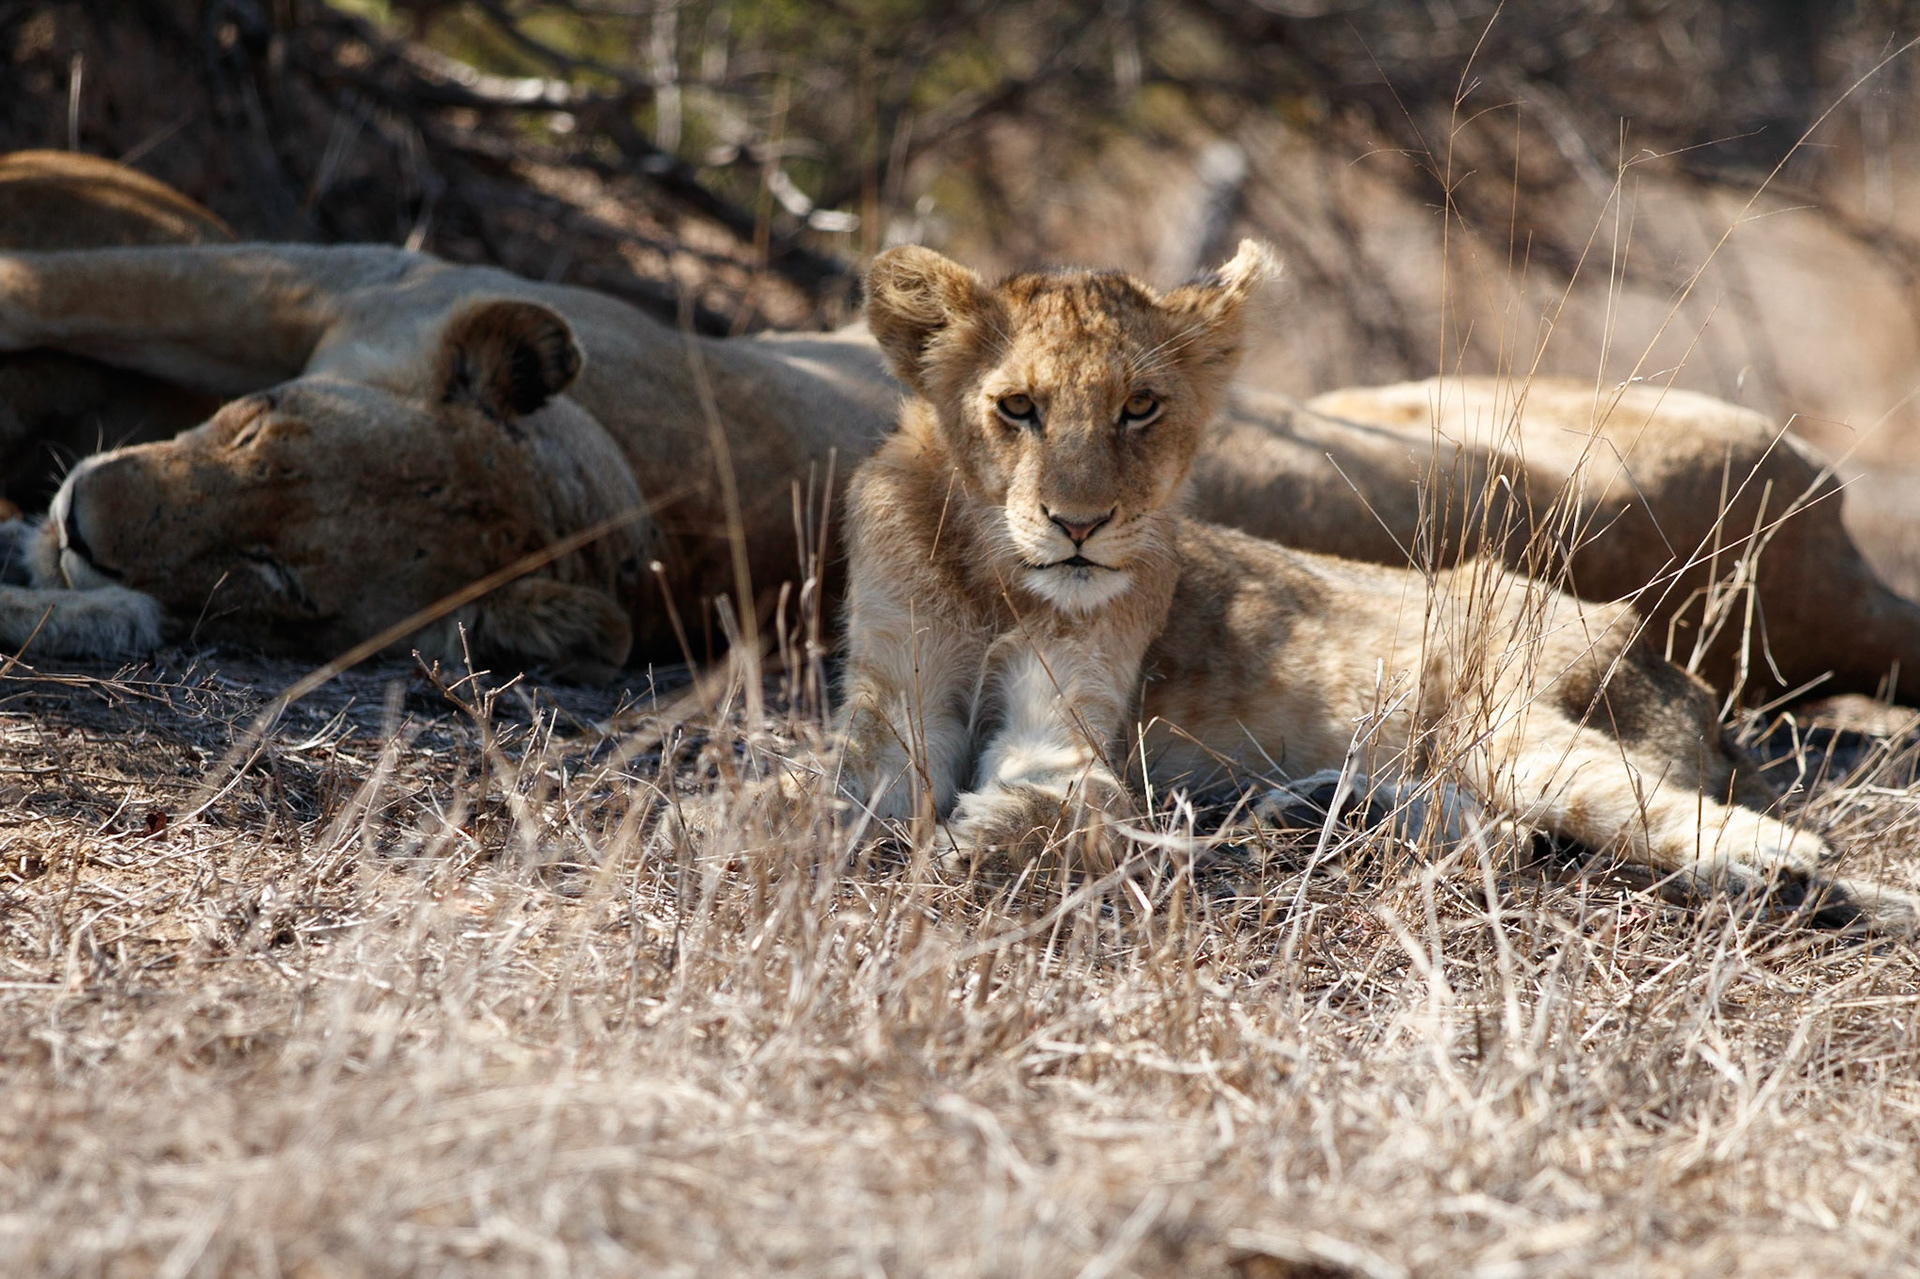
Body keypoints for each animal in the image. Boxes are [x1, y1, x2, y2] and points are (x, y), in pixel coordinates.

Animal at [836, 241, 1917, 932]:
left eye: (1140, 407)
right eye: (1016, 407)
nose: (1079, 525)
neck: (991, 574)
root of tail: (1671, 668)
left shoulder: (1069, 730)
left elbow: (1046, 795)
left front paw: (973, 843)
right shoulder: (897, 701)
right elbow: (869, 792)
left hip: (1510, 727)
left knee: (1681, 825)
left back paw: (1785, 874)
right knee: (1498, 835)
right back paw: (1309, 813)